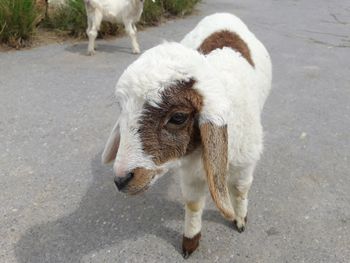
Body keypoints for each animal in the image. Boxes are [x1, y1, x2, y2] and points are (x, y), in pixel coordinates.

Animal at [102, 13, 272, 258]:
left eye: (178, 117)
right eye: (121, 107)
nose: (121, 179)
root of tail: (224, 14)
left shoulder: (245, 165)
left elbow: (240, 190)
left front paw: (240, 219)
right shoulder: (189, 173)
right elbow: (193, 204)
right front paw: (190, 240)